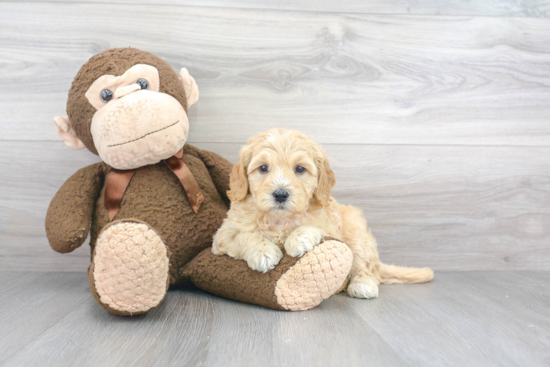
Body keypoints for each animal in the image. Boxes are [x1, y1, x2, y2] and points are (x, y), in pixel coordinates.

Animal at [215, 129, 436, 300]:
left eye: (300, 169)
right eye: (263, 168)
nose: (280, 194)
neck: (280, 219)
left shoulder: (330, 225)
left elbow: (314, 227)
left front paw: (298, 238)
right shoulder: (222, 236)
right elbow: (245, 234)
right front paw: (263, 252)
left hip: (356, 233)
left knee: (367, 267)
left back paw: (363, 285)